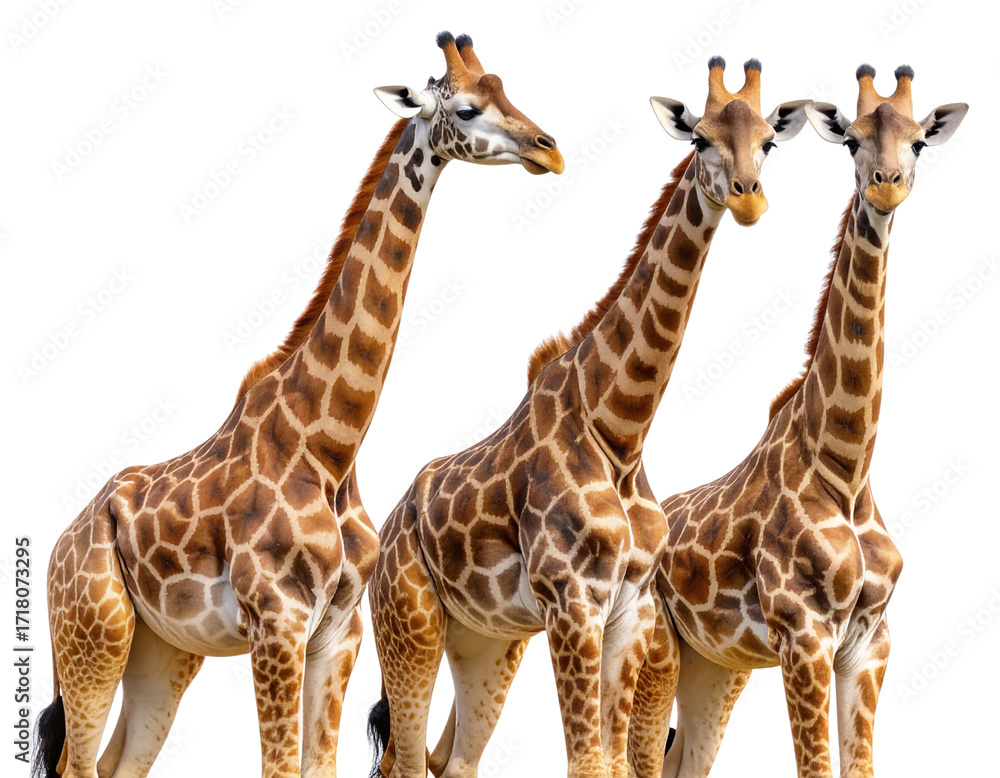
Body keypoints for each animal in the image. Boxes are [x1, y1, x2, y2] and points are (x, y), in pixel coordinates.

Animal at [32, 31, 564, 778]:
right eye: (467, 106)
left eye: (507, 87)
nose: (549, 149)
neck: (332, 442)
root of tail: (59, 542)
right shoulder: (277, 622)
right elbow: (279, 766)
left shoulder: (337, 630)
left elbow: (318, 765)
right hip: (93, 634)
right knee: (77, 763)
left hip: (162, 649)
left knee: (119, 763)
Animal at [366, 57, 809, 778]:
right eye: (699, 139)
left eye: (768, 142)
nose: (748, 199)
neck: (622, 427)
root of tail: (389, 526)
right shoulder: (573, 601)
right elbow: (589, 762)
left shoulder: (626, 610)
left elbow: (611, 762)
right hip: (409, 621)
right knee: (402, 760)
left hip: (485, 639)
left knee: (450, 761)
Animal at [630, 66, 968, 778]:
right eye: (852, 142)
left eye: (919, 142)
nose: (885, 186)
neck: (847, 465)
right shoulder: (804, 635)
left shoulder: (869, 644)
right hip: (659, 648)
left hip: (716, 664)